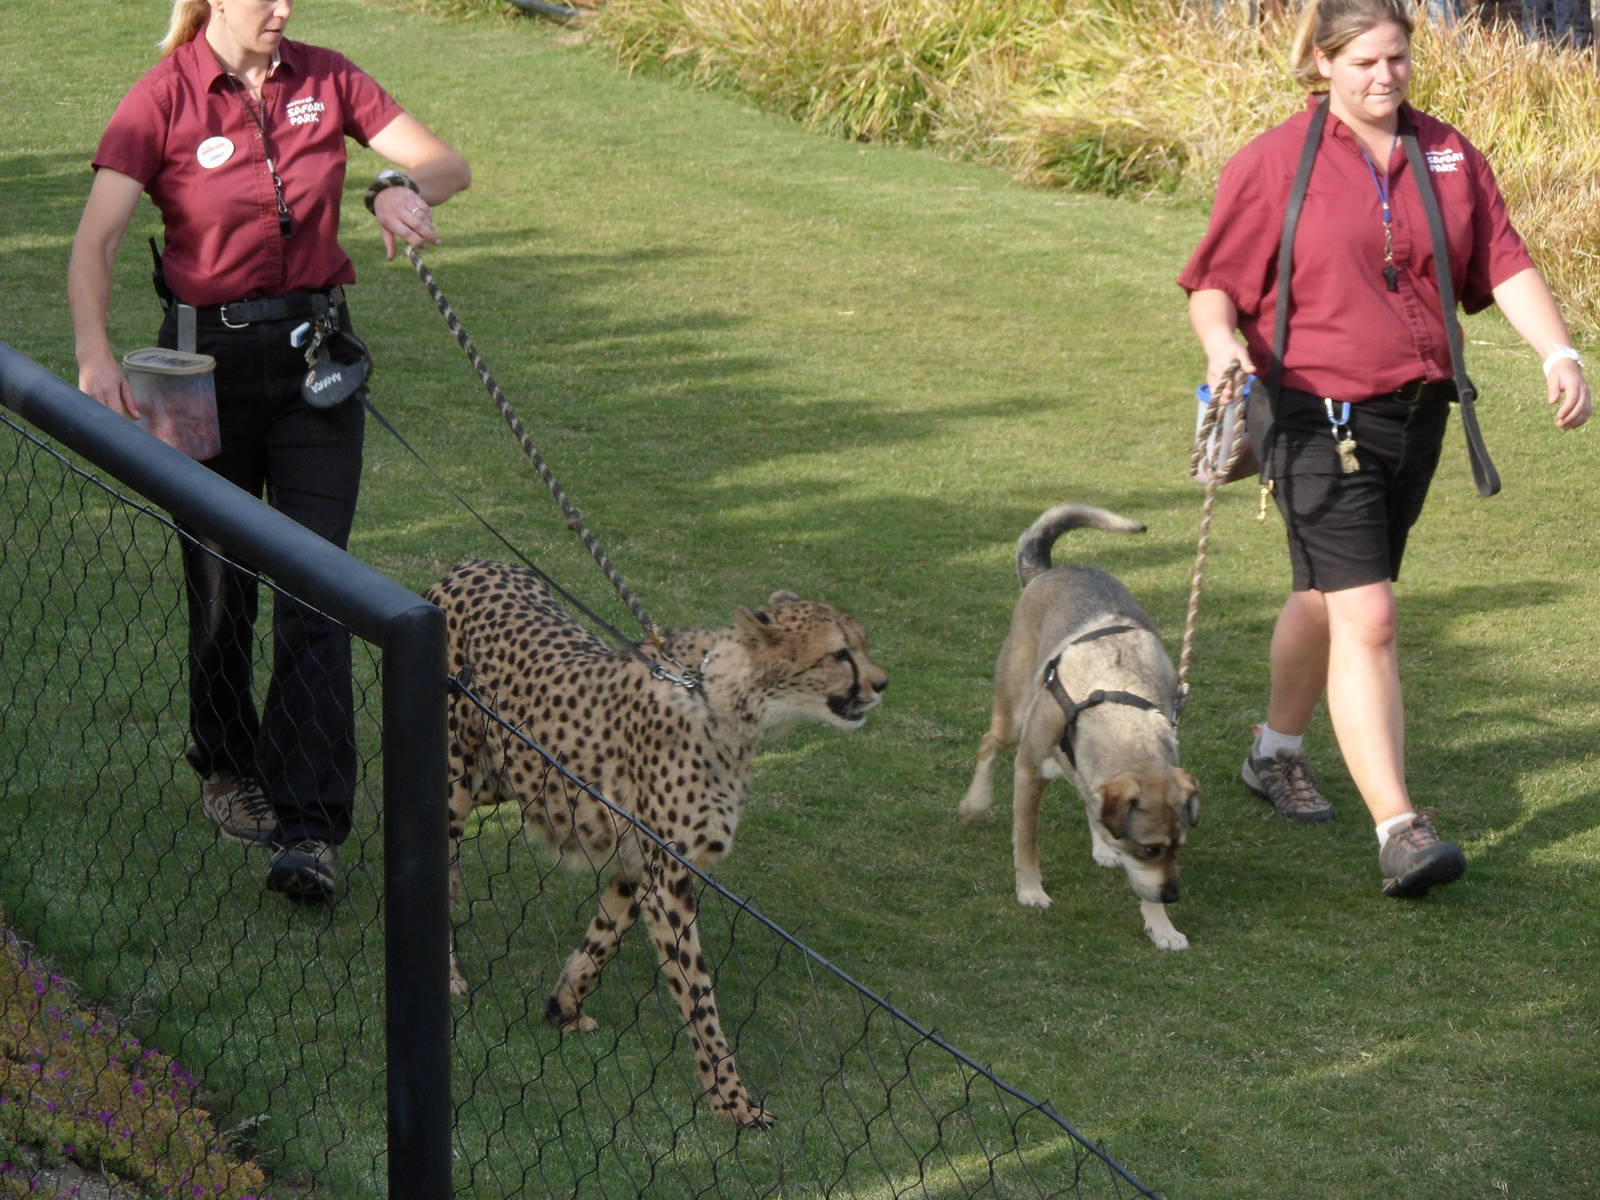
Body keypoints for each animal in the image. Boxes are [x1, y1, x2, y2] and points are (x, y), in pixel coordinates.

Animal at [424, 559, 889, 1128]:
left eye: (861, 644)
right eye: (839, 653)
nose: (882, 683)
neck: (726, 702)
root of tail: (470, 565)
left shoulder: (639, 867)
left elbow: (600, 941)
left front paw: (563, 1008)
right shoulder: (669, 877)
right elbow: (698, 997)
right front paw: (732, 1100)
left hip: (503, 776)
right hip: (454, 783)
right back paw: (446, 972)